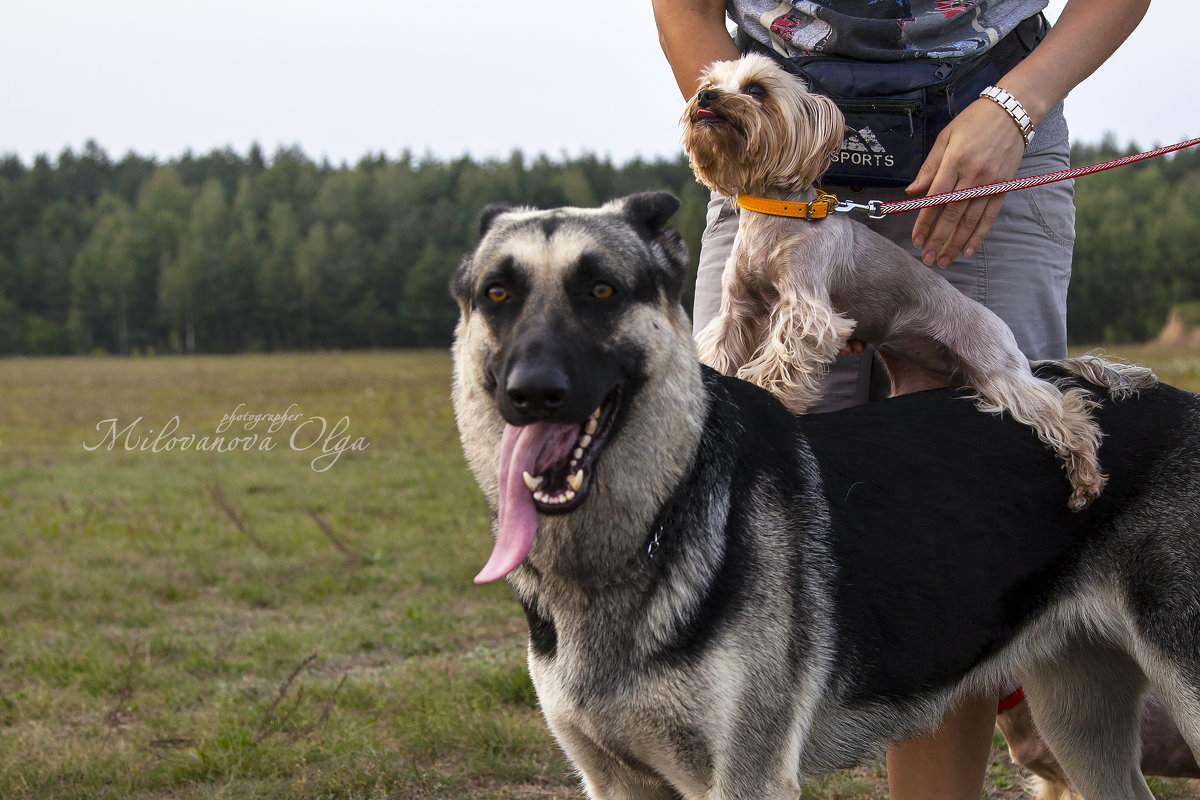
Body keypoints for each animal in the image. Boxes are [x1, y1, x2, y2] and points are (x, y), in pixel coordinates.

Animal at [451, 191, 1200, 800]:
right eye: (497, 295)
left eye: (602, 290)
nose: (533, 392)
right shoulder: (615, 781)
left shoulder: (747, 777)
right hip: (1077, 714)